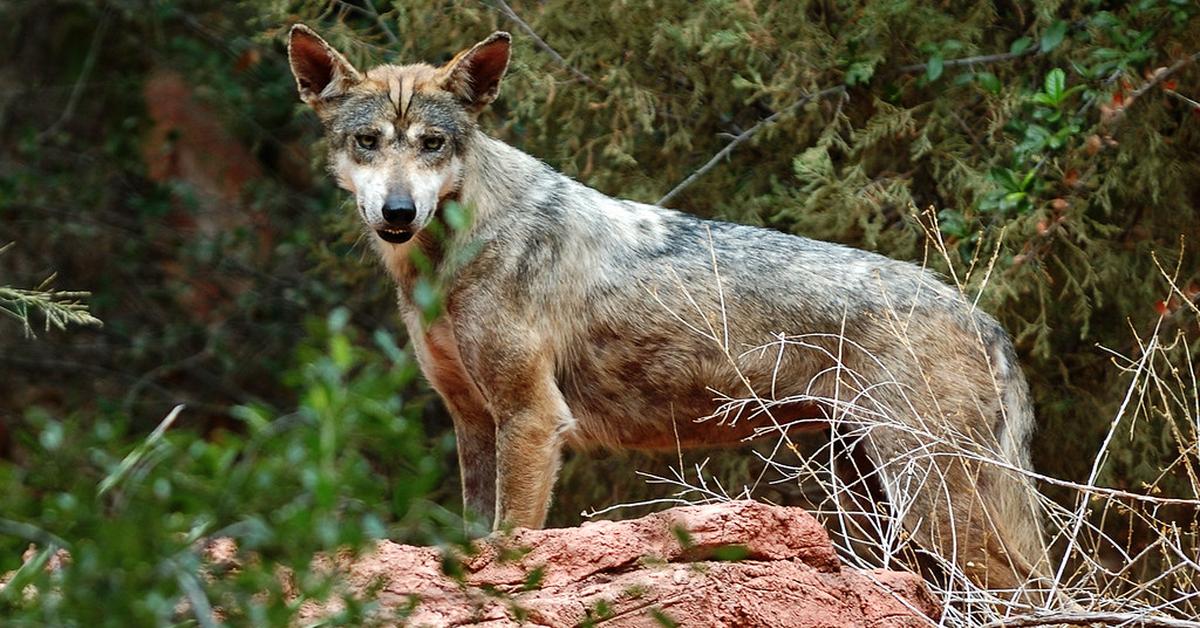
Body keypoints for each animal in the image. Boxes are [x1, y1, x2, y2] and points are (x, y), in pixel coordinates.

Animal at [285, 24, 1046, 595]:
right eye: (368, 142)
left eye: (432, 144)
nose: (398, 212)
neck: (445, 259)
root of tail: (982, 316)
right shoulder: (473, 421)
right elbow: (476, 535)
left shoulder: (532, 419)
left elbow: (510, 539)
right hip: (873, 495)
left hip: (929, 501)